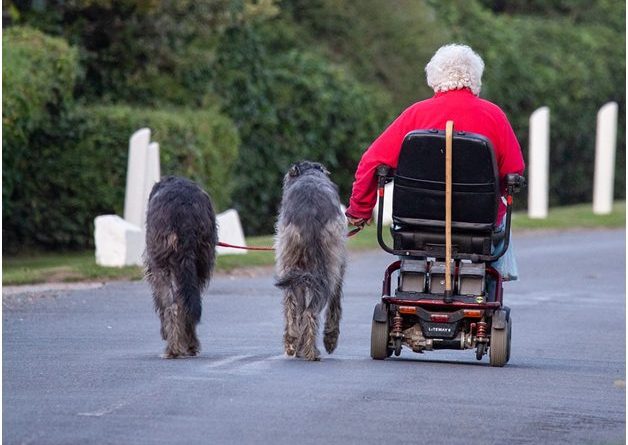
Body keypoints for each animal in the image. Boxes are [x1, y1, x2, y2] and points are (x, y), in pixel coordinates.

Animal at [144, 175, 217, 360]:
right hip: (198, 260)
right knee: (188, 303)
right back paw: (187, 345)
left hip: (163, 266)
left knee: (172, 306)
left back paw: (174, 348)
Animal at [274, 160, 348, 360]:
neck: (309, 174)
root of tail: (310, 214)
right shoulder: (339, 266)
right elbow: (335, 303)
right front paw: (330, 338)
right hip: (326, 267)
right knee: (311, 310)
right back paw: (311, 350)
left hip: (289, 264)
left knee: (295, 307)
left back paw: (293, 343)